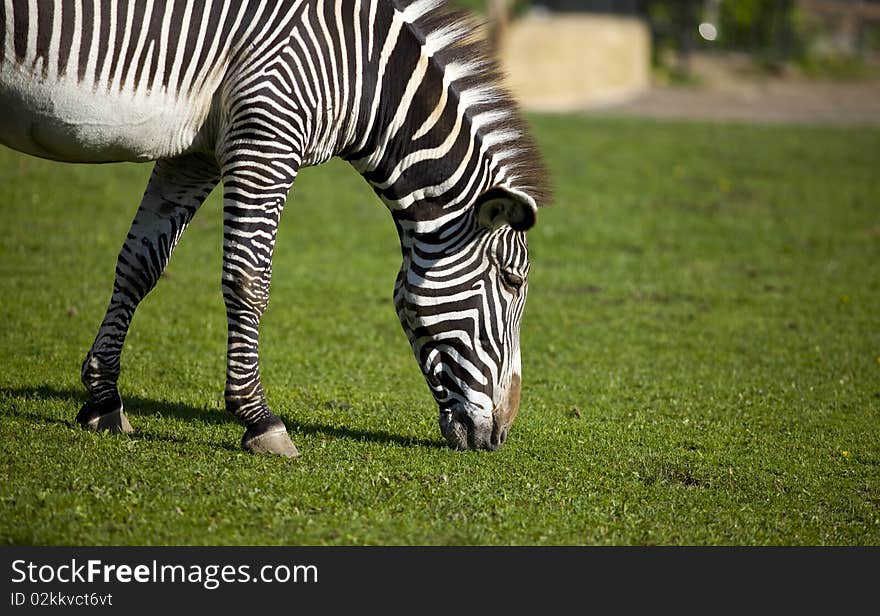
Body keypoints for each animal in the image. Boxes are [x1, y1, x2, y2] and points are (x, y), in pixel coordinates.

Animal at [1, 0, 552, 452]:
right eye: (512, 281)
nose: (500, 436)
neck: (364, 72)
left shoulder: (195, 152)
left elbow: (141, 264)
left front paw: (102, 399)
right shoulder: (265, 137)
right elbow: (249, 280)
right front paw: (258, 419)